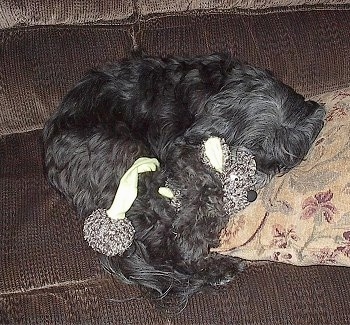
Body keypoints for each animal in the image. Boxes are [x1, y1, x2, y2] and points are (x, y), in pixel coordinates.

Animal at [43, 53, 326, 306]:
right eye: (253, 146)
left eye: (279, 166)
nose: (252, 193)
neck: (218, 91)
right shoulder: (181, 149)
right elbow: (205, 183)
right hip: (130, 160)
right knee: (159, 243)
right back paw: (215, 266)